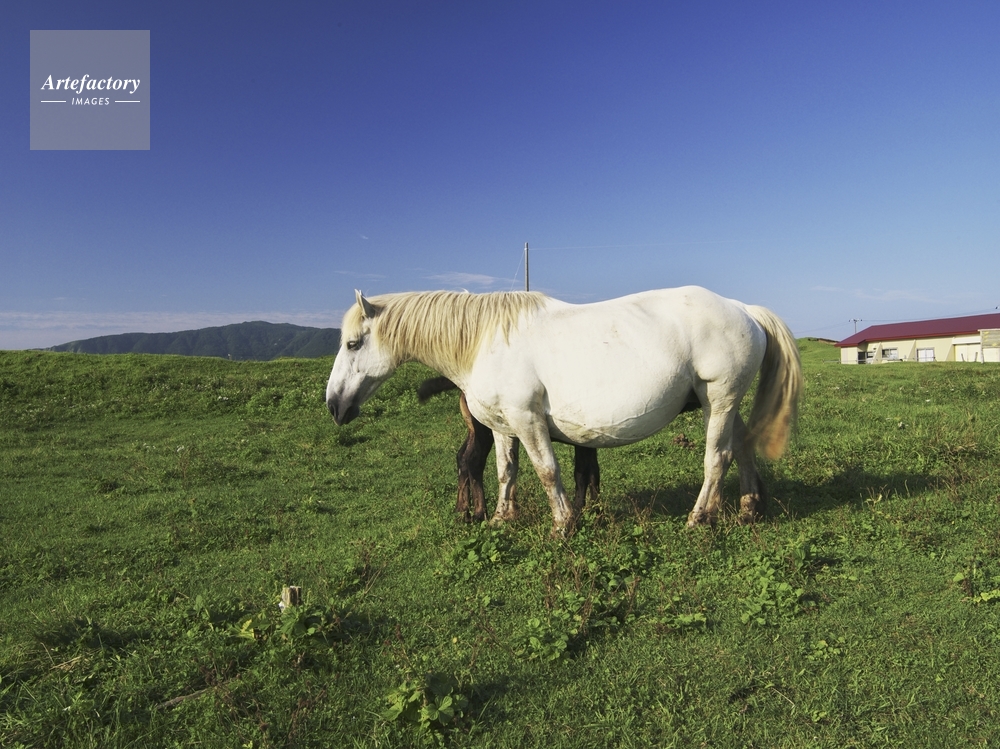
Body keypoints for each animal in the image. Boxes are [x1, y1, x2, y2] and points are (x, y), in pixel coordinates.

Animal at [417, 376, 602, 521]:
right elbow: (582, 473)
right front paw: (582, 512)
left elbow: (593, 472)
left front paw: (597, 513)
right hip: (485, 430)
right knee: (474, 461)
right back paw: (480, 513)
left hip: (475, 430)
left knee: (462, 457)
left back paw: (462, 511)